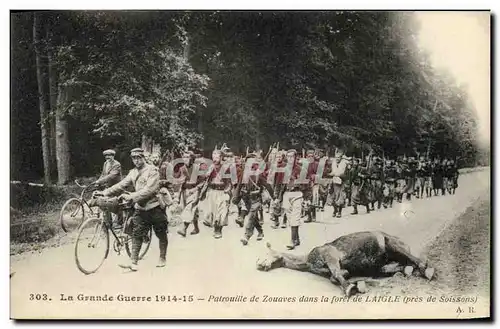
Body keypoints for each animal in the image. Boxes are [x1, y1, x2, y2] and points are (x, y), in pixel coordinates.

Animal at [258, 229, 434, 296]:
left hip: (391, 244)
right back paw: (407, 271)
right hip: (383, 265)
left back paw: (428, 271)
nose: (258, 264)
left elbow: (336, 274)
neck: (307, 261)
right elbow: (336, 275)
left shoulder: (330, 255)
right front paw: (356, 283)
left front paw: (351, 288)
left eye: (267, 254)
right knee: (403, 266)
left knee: (417, 260)